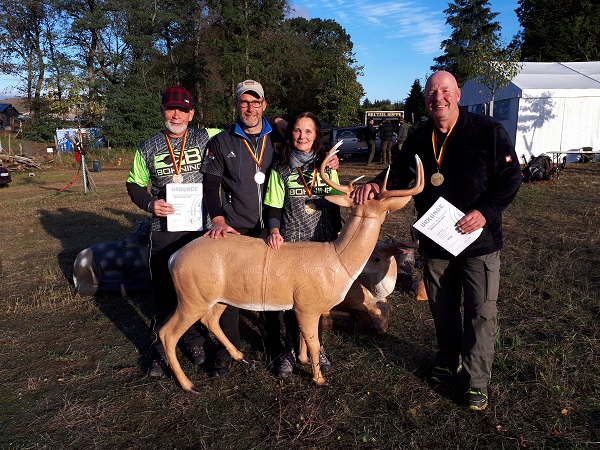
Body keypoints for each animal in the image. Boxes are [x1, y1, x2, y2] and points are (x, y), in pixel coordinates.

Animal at [159, 149, 422, 392]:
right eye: (384, 210)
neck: (338, 261)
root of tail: (173, 258)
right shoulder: (308, 303)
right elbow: (313, 341)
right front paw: (319, 379)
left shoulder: (303, 306)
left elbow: (305, 338)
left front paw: (303, 361)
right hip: (191, 296)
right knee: (167, 333)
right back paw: (189, 384)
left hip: (217, 296)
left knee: (210, 320)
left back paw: (240, 357)